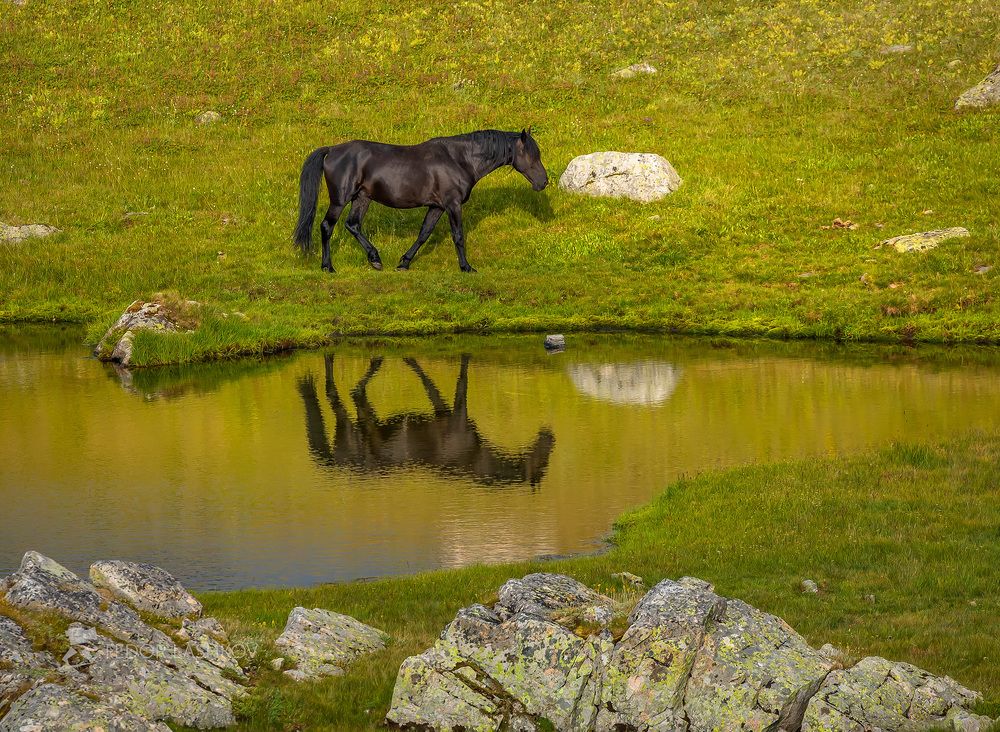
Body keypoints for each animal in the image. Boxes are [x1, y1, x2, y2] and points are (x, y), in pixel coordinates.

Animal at [293, 128, 549, 273]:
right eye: (531, 155)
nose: (544, 182)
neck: (460, 159)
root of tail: (332, 150)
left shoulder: (436, 207)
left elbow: (424, 234)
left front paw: (404, 263)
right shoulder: (453, 205)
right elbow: (458, 236)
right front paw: (466, 267)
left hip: (362, 198)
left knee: (353, 225)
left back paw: (375, 259)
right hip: (340, 200)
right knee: (327, 226)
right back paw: (328, 266)